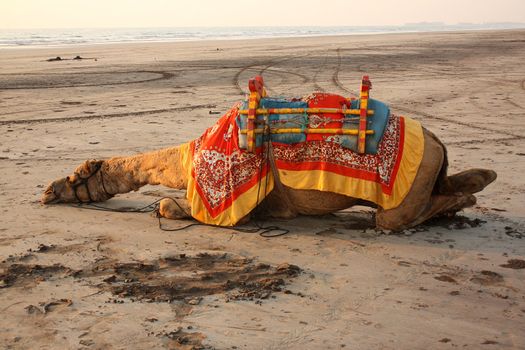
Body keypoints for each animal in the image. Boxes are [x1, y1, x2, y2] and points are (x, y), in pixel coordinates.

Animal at [41, 79, 496, 231]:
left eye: (74, 175)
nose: (46, 191)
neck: (187, 157)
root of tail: (437, 142)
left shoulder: (225, 195)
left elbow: (172, 208)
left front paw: (164, 206)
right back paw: (480, 180)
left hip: (404, 191)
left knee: (398, 217)